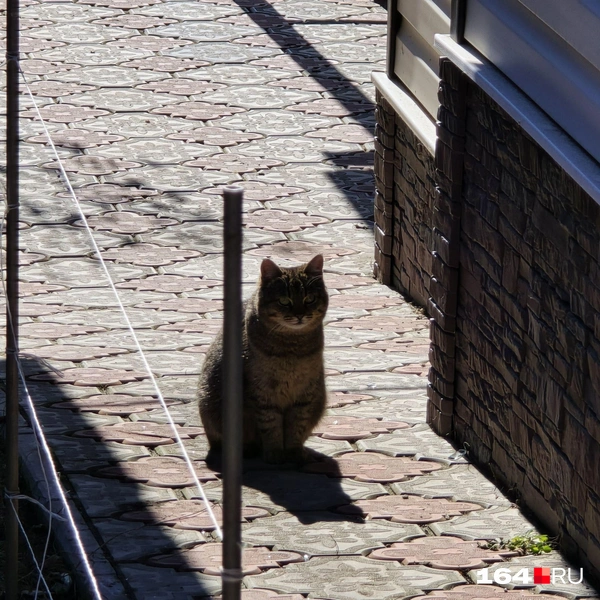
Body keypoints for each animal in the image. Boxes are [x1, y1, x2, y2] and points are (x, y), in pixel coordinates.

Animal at [198, 253, 328, 464]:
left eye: (309, 299)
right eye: (284, 301)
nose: (299, 315)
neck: (292, 348)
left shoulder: (304, 395)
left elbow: (296, 427)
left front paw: (294, 453)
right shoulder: (264, 394)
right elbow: (271, 426)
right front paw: (274, 454)